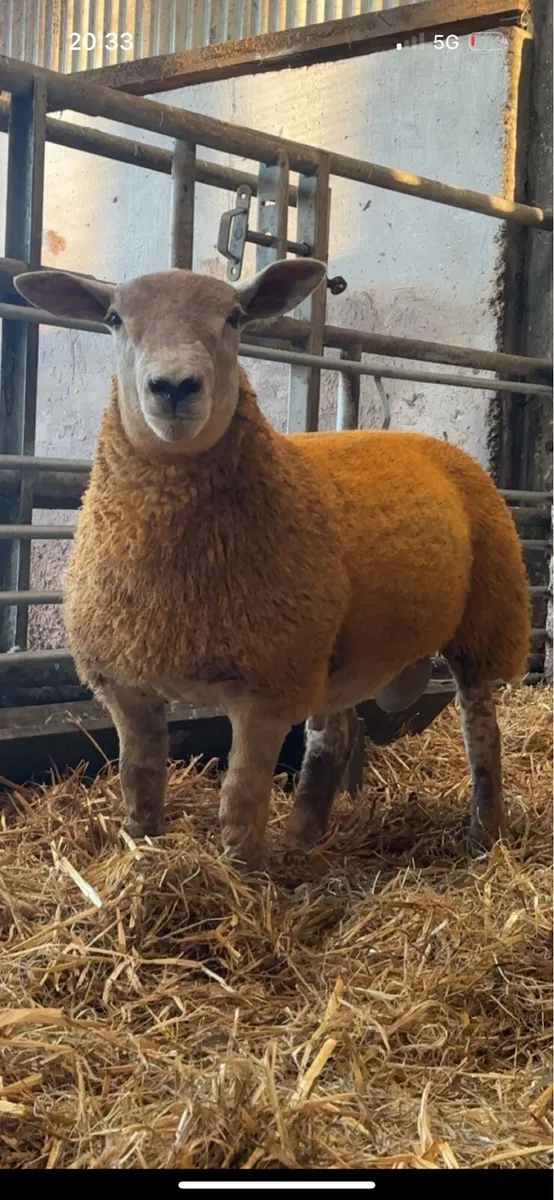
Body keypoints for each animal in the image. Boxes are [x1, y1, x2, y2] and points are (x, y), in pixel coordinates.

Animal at [15, 259, 530, 871]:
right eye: (114, 319)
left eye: (235, 318)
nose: (173, 388)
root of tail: (427, 439)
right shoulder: (124, 682)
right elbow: (138, 782)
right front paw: (144, 851)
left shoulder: (266, 687)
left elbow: (239, 799)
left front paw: (240, 872)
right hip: (333, 652)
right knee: (332, 737)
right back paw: (304, 837)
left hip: (485, 619)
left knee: (481, 732)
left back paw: (485, 832)